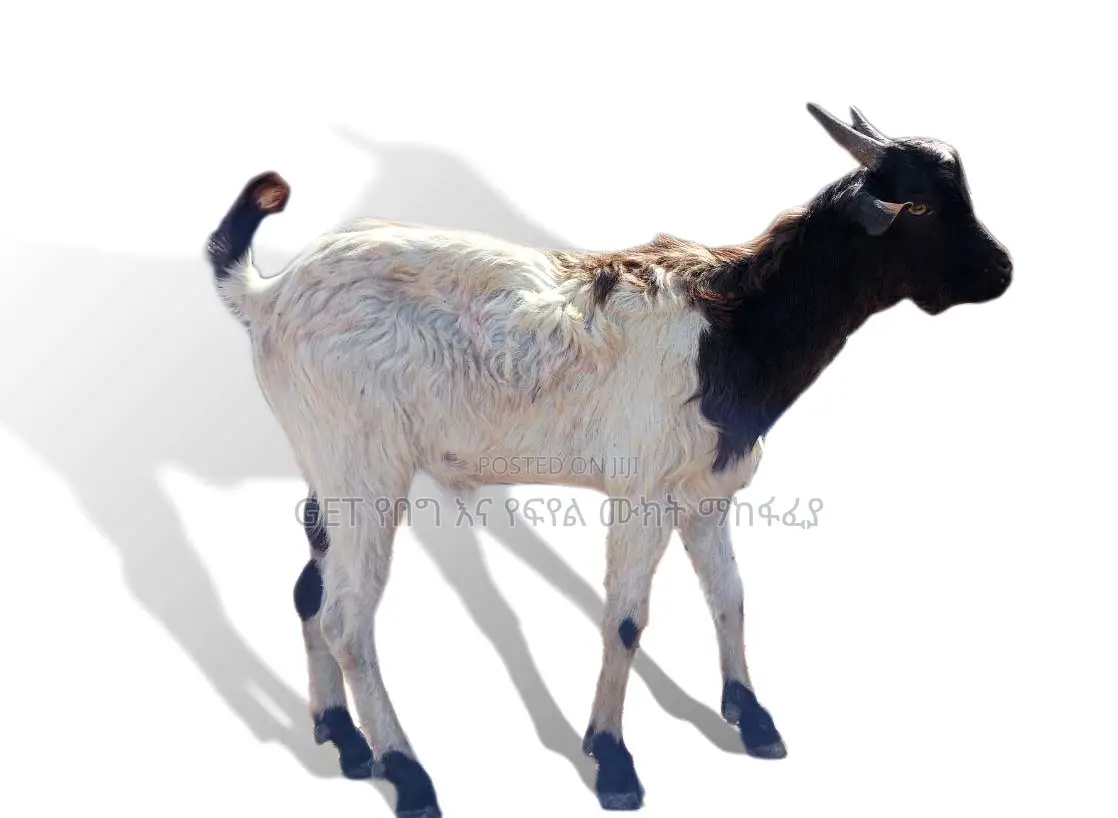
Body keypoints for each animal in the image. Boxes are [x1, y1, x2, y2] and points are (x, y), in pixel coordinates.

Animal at [205, 103, 1012, 816]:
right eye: (922, 208)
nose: (1002, 270)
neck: (730, 325)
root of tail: (269, 294)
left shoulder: (706, 489)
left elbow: (730, 595)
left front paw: (751, 717)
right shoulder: (643, 491)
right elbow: (625, 619)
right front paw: (613, 760)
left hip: (325, 464)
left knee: (310, 589)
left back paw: (341, 737)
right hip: (363, 466)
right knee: (348, 616)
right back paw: (407, 773)